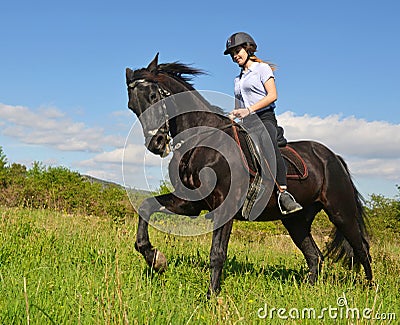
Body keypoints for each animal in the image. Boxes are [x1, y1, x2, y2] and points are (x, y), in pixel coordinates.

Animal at [125, 53, 372, 296]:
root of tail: (333, 157)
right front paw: (155, 258)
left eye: (154, 96)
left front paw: (212, 296)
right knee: (315, 256)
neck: (203, 140)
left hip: (341, 212)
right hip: (296, 220)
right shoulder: (190, 203)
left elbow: (217, 254)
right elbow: (146, 206)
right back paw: (309, 291)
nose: (156, 144)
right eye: (132, 107)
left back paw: (371, 289)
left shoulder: (225, 206)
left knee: (362, 249)